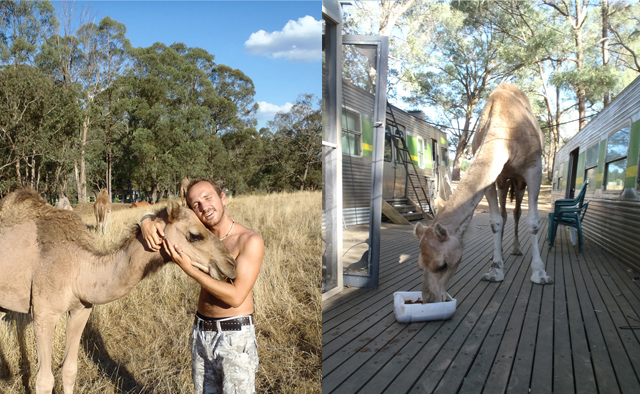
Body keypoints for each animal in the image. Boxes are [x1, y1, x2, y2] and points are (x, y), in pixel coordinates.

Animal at [0, 189, 238, 392]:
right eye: (195, 235)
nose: (231, 264)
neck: (78, 268)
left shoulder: (81, 309)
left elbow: (69, 370)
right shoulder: (44, 314)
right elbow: (44, 380)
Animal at [416, 84, 552, 304]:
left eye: (442, 265)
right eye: (420, 265)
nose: (429, 299)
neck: (508, 133)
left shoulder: (534, 168)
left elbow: (533, 221)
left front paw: (540, 274)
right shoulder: (492, 180)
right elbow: (495, 221)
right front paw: (495, 270)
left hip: (520, 182)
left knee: (517, 213)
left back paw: (516, 249)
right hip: (503, 180)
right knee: (504, 214)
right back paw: (499, 254)